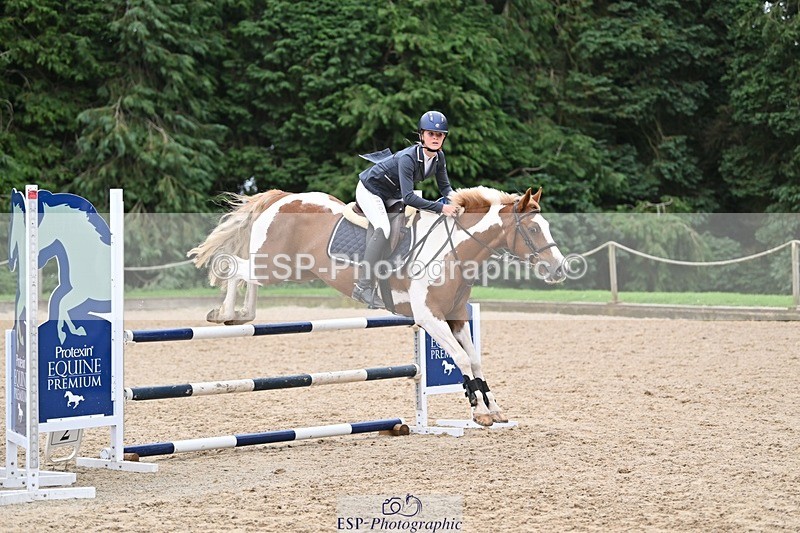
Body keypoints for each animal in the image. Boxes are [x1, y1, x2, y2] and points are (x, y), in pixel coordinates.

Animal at [188, 186, 566, 426]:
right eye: (534, 229)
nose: (560, 269)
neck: (453, 249)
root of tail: (281, 198)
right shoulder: (430, 317)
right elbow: (460, 359)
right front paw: (478, 412)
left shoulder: (457, 317)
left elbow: (474, 360)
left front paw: (495, 408)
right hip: (271, 263)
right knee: (233, 266)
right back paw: (226, 314)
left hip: (286, 268)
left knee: (247, 274)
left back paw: (243, 315)